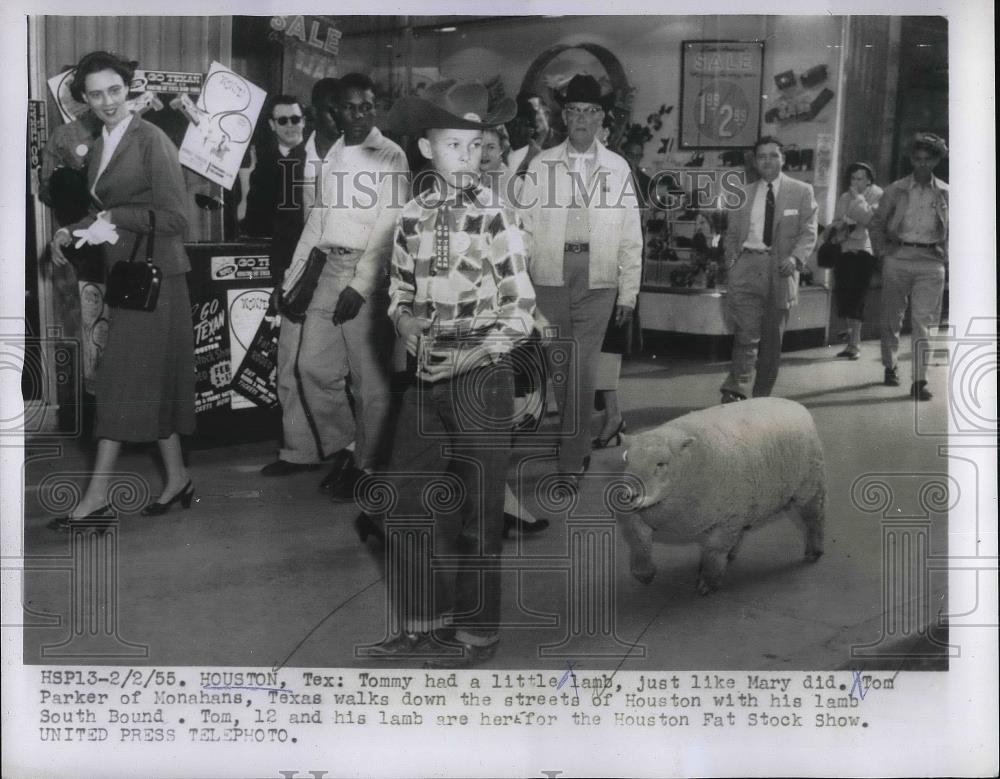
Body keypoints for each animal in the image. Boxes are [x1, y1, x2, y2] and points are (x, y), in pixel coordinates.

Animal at [620, 400, 824, 596]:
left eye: (661, 464)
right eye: (626, 459)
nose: (629, 494)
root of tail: (795, 405)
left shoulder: (727, 519)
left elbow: (714, 550)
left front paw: (708, 582)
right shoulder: (639, 516)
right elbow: (639, 541)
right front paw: (644, 573)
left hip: (810, 486)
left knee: (814, 519)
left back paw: (814, 551)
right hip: (748, 501)